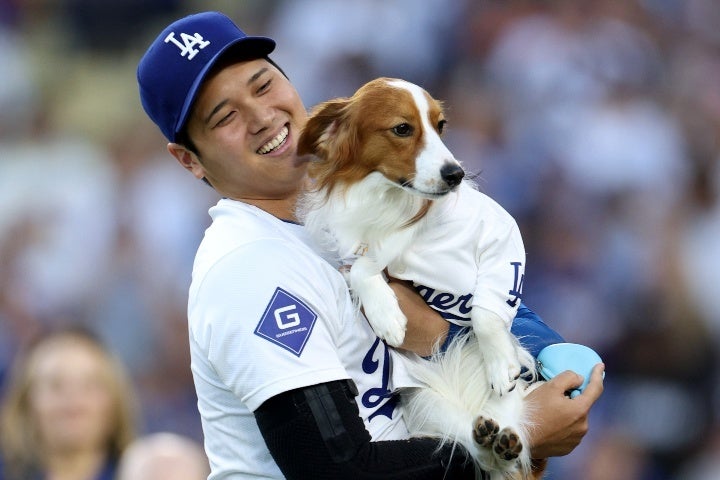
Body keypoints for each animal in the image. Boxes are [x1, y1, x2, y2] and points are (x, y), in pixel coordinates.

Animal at [298, 77, 540, 478]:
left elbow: (485, 314)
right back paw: (489, 440)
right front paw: (388, 316)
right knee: (470, 445)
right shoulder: (357, 253)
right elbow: (361, 269)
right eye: (402, 128)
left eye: (441, 125)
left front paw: (500, 364)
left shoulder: (501, 238)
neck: (394, 204)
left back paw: (504, 438)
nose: (455, 174)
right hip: (428, 403)